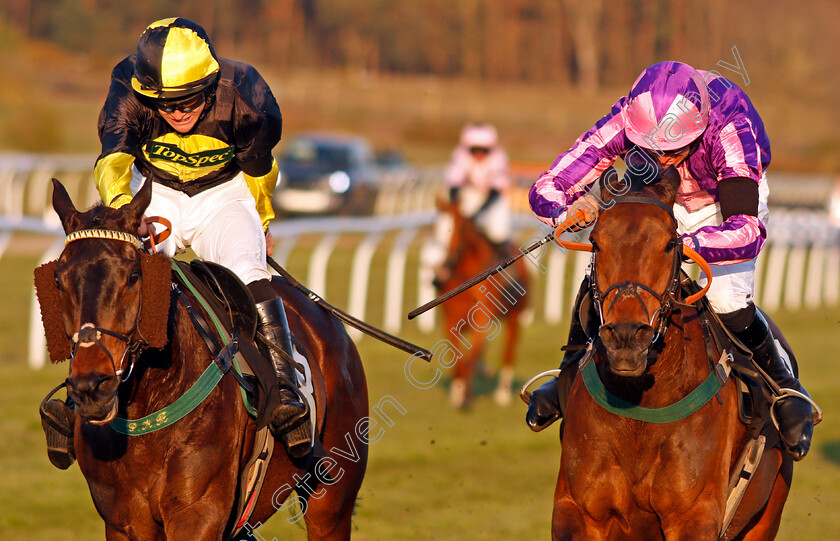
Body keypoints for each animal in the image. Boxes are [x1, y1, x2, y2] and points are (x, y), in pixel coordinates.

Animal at [38, 179, 368, 536]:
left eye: (134, 275)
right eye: (58, 280)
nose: (91, 388)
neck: (149, 403)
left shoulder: (198, 513)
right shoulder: (123, 522)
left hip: (331, 500)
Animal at [436, 200, 528, 408]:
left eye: (460, 227)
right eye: (436, 226)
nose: (442, 271)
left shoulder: (482, 320)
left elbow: (470, 358)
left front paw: (465, 396)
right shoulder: (450, 322)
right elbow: (458, 360)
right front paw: (457, 393)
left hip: (515, 316)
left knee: (508, 352)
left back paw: (502, 392)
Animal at [552, 167, 796, 536]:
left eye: (670, 243)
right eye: (594, 242)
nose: (627, 338)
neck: (640, 407)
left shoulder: (694, 515)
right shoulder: (577, 511)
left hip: (767, 514)